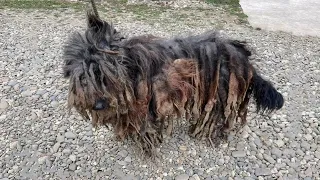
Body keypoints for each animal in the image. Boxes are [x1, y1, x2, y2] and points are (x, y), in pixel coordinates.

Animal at [62, 8, 282, 155]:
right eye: (83, 77)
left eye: (106, 73)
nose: (99, 105)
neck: (130, 68)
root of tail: (243, 56)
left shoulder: (146, 106)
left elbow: (146, 130)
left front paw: (146, 147)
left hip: (221, 94)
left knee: (216, 118)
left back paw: (207, 134)